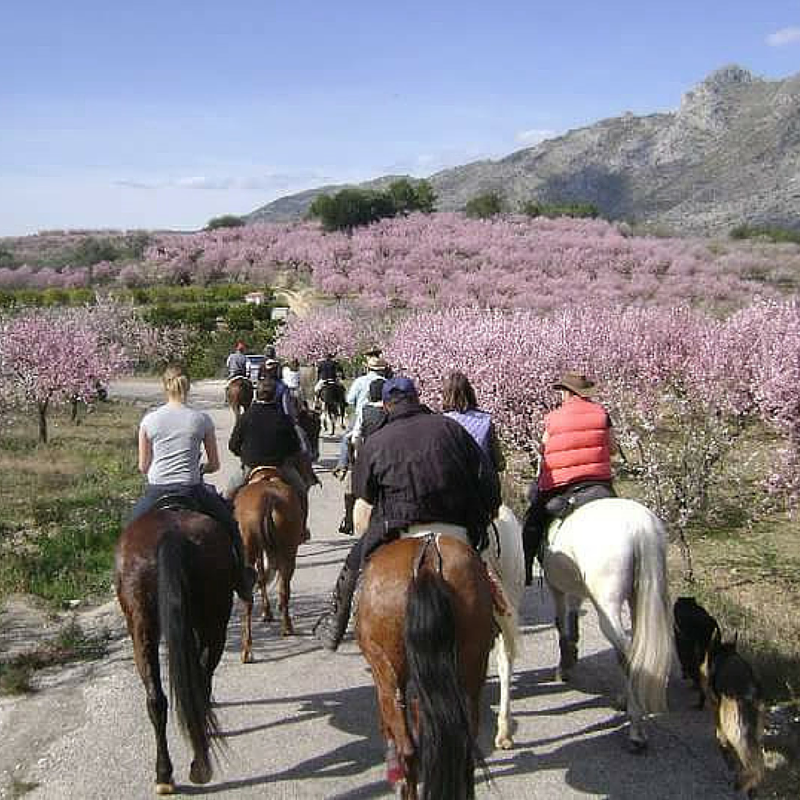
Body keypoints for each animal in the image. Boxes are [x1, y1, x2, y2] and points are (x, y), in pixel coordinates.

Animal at [115, 506, 234, 792]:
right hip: (215, 626)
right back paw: (199, 765)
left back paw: (164, 776)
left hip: (142, 626)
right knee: (199, 686)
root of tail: (171, 535)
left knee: (156, 700)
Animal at [234, 466, 306, 660]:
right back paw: (287, 627)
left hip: (254, 551)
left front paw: (266, 612)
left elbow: (261, 577)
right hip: (288, 551)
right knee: (283, 590)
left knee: (250, 599)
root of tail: (268, 498)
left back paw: (247, 649)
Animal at [536, 496, 676, 752]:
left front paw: (564, 667)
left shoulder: (556, 588)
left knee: (628, 653)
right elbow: (572, 620)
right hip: (640, 597)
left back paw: (636, 729)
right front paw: (570, 658)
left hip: (607, 607)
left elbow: (562, 625)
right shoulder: (574, 589)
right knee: (634, 648)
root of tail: (640, 527)